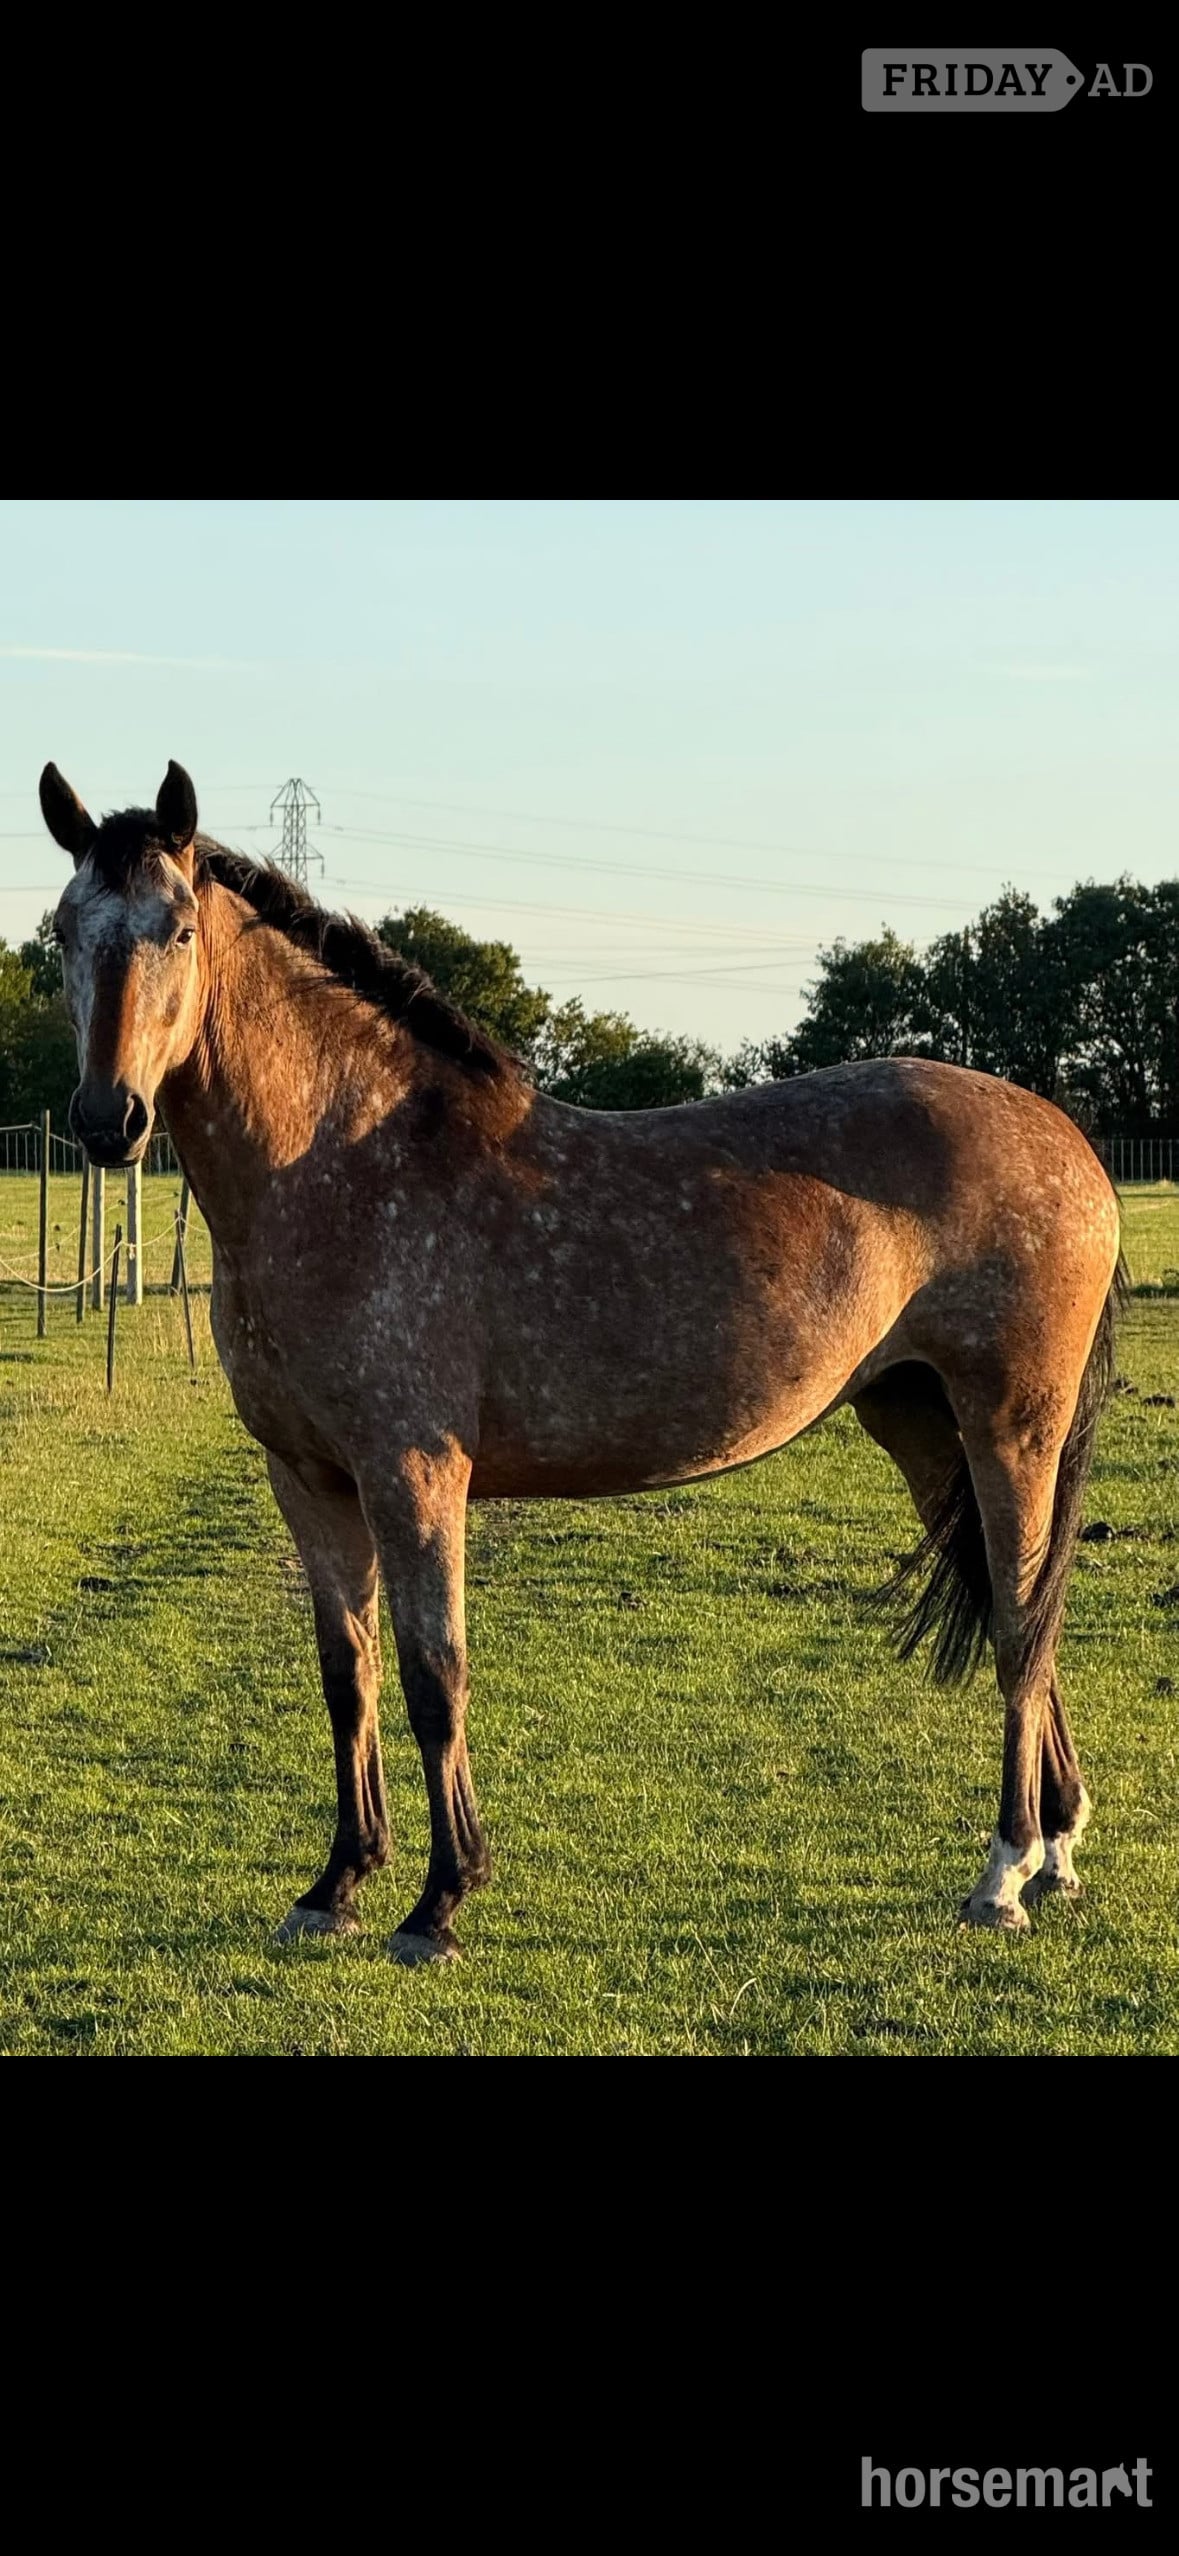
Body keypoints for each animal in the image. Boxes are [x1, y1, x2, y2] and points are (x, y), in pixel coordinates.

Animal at [39, 759, 1123, 1960]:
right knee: (1017, 1612)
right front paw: (335, 1886)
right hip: (921, 1423)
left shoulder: (412, 1471)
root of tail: (1065, 1141)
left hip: (1011, 1423)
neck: (342, 1164)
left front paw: (439, 1901)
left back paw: (1003, 1871)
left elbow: (433, 1674)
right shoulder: (307, 1478)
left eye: (179, 929)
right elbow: (346, 1675)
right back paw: (1055, 1851)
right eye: (62, 932)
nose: (108, 1119)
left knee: (1023, 1622)